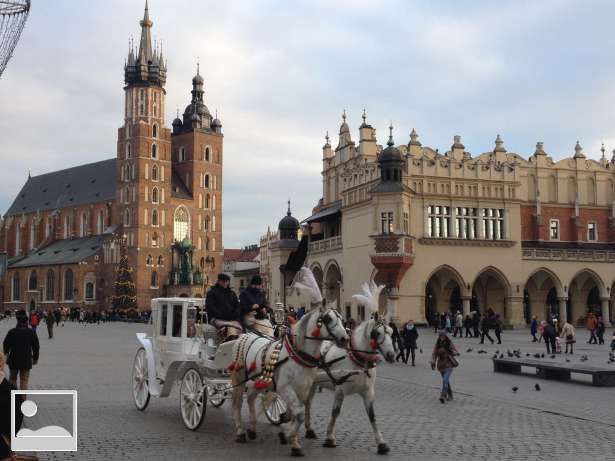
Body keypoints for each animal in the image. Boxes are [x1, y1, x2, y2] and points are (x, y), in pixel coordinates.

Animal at [231, 266, 348, 456]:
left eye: (342, 319)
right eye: (328, 319)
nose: (345, 339)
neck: (298, 356)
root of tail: (245, 335)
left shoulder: (303, 389)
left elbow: (297, 412)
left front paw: (292, 440)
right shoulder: (285, 388)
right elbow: (298, 413)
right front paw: (288, 437)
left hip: (257, 381)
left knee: (250, 398)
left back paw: (253, 429)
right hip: (239, 378)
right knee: (237, 402)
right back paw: (241, 432)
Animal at [304, 280, 394, 452]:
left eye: (392, 332)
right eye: (377, 333)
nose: (392, 355)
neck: (357, 360)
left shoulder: (368, 393)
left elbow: (372, 416)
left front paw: (381, 442)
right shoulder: (340, 390)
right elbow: (335, 412)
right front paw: (330, 438)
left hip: (313, 383)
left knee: (307, 403)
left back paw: (309, 429)